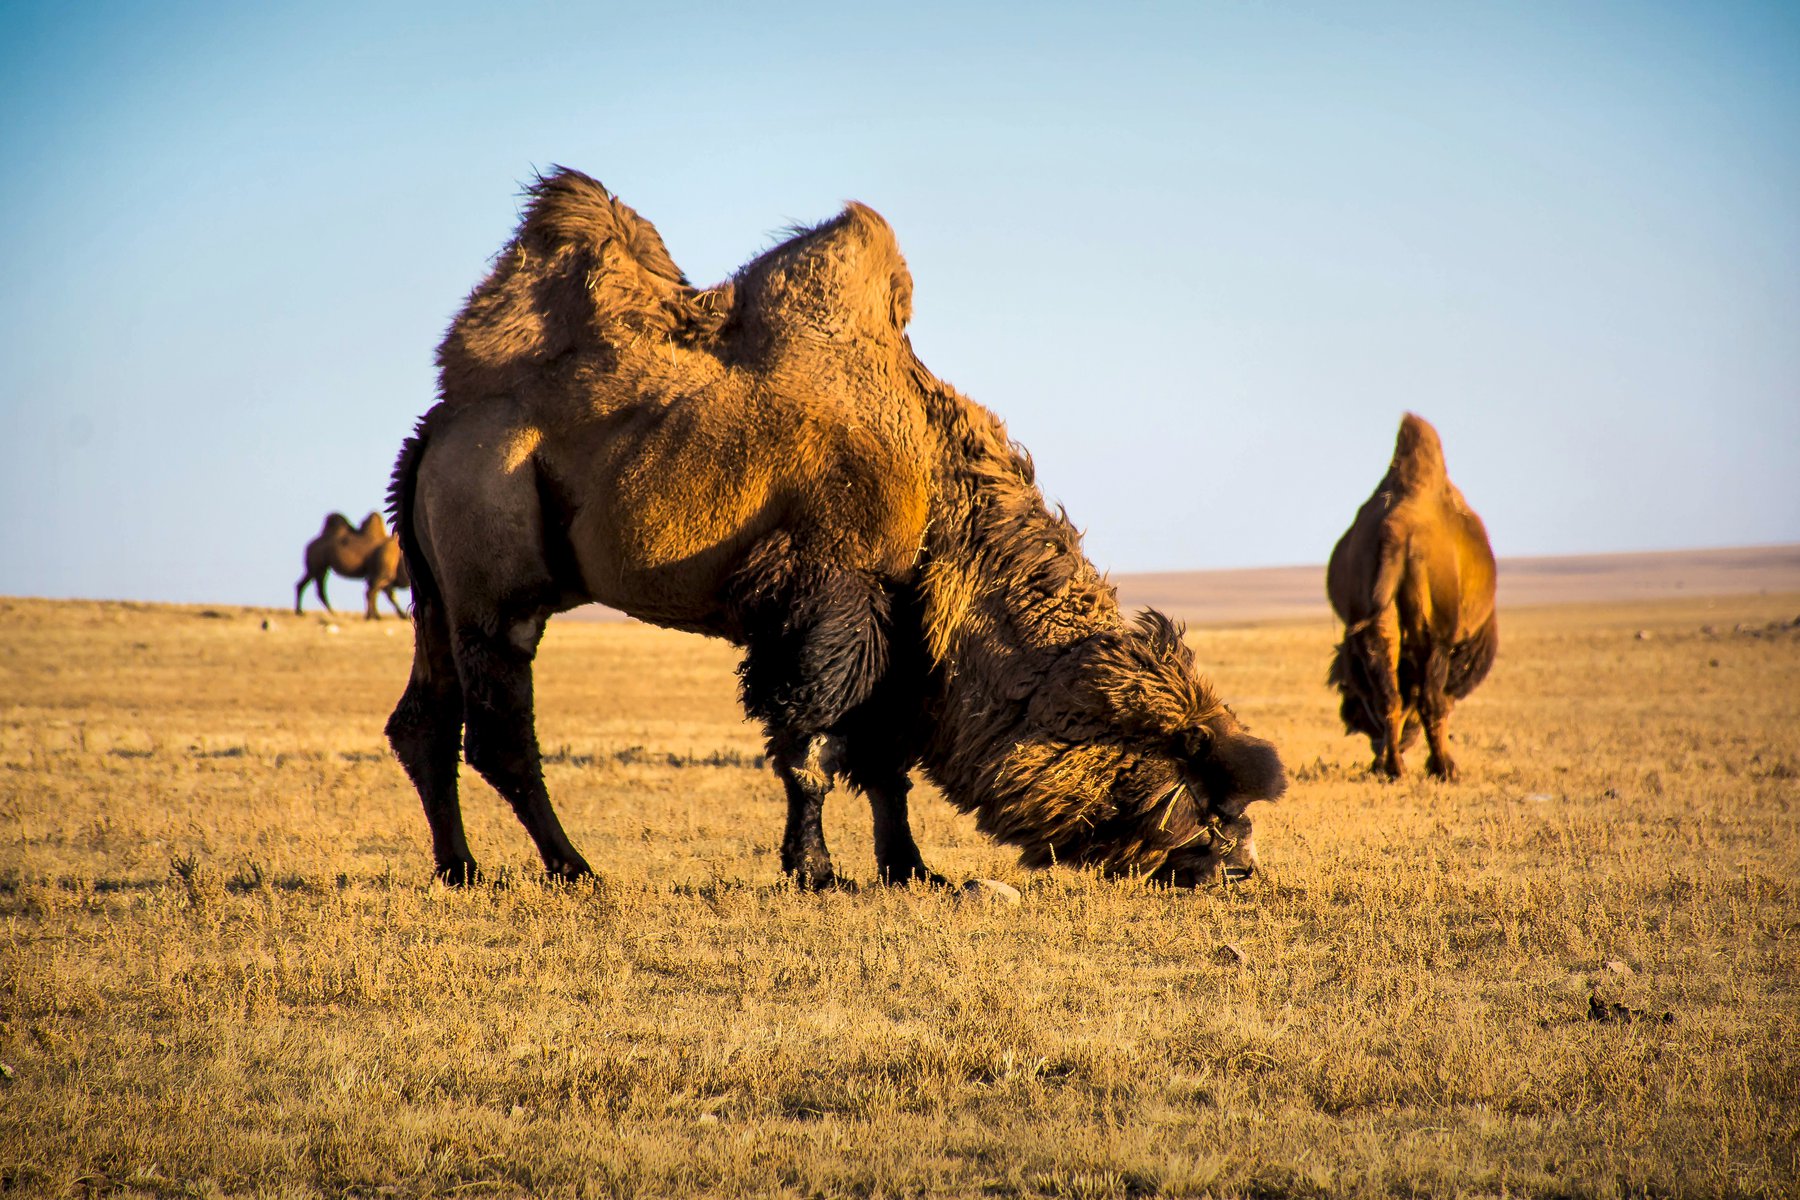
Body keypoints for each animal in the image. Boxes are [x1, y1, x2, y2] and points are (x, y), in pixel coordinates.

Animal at [383, 164, 1281, 888]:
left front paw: (912, 869)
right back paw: (573, 868)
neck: (943, 500)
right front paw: (815, 871)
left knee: (423, 722)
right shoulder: (832, 596)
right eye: (1198, 781)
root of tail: (436, 431)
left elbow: (884, 762)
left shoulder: (905, 625)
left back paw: (461, 867)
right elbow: (813, 744)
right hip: (495, 581)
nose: (1240, 865)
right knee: (499, 734)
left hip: (434, 589)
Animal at [1332, 417, 1497, 784]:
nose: (1350, 718)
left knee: (1390, 695)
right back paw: (1444, 768)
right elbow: (1438, 698)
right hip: (1434, 633)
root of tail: (1396, 533)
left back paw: (1392, 767)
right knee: (1430, 699)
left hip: (1377, 621)